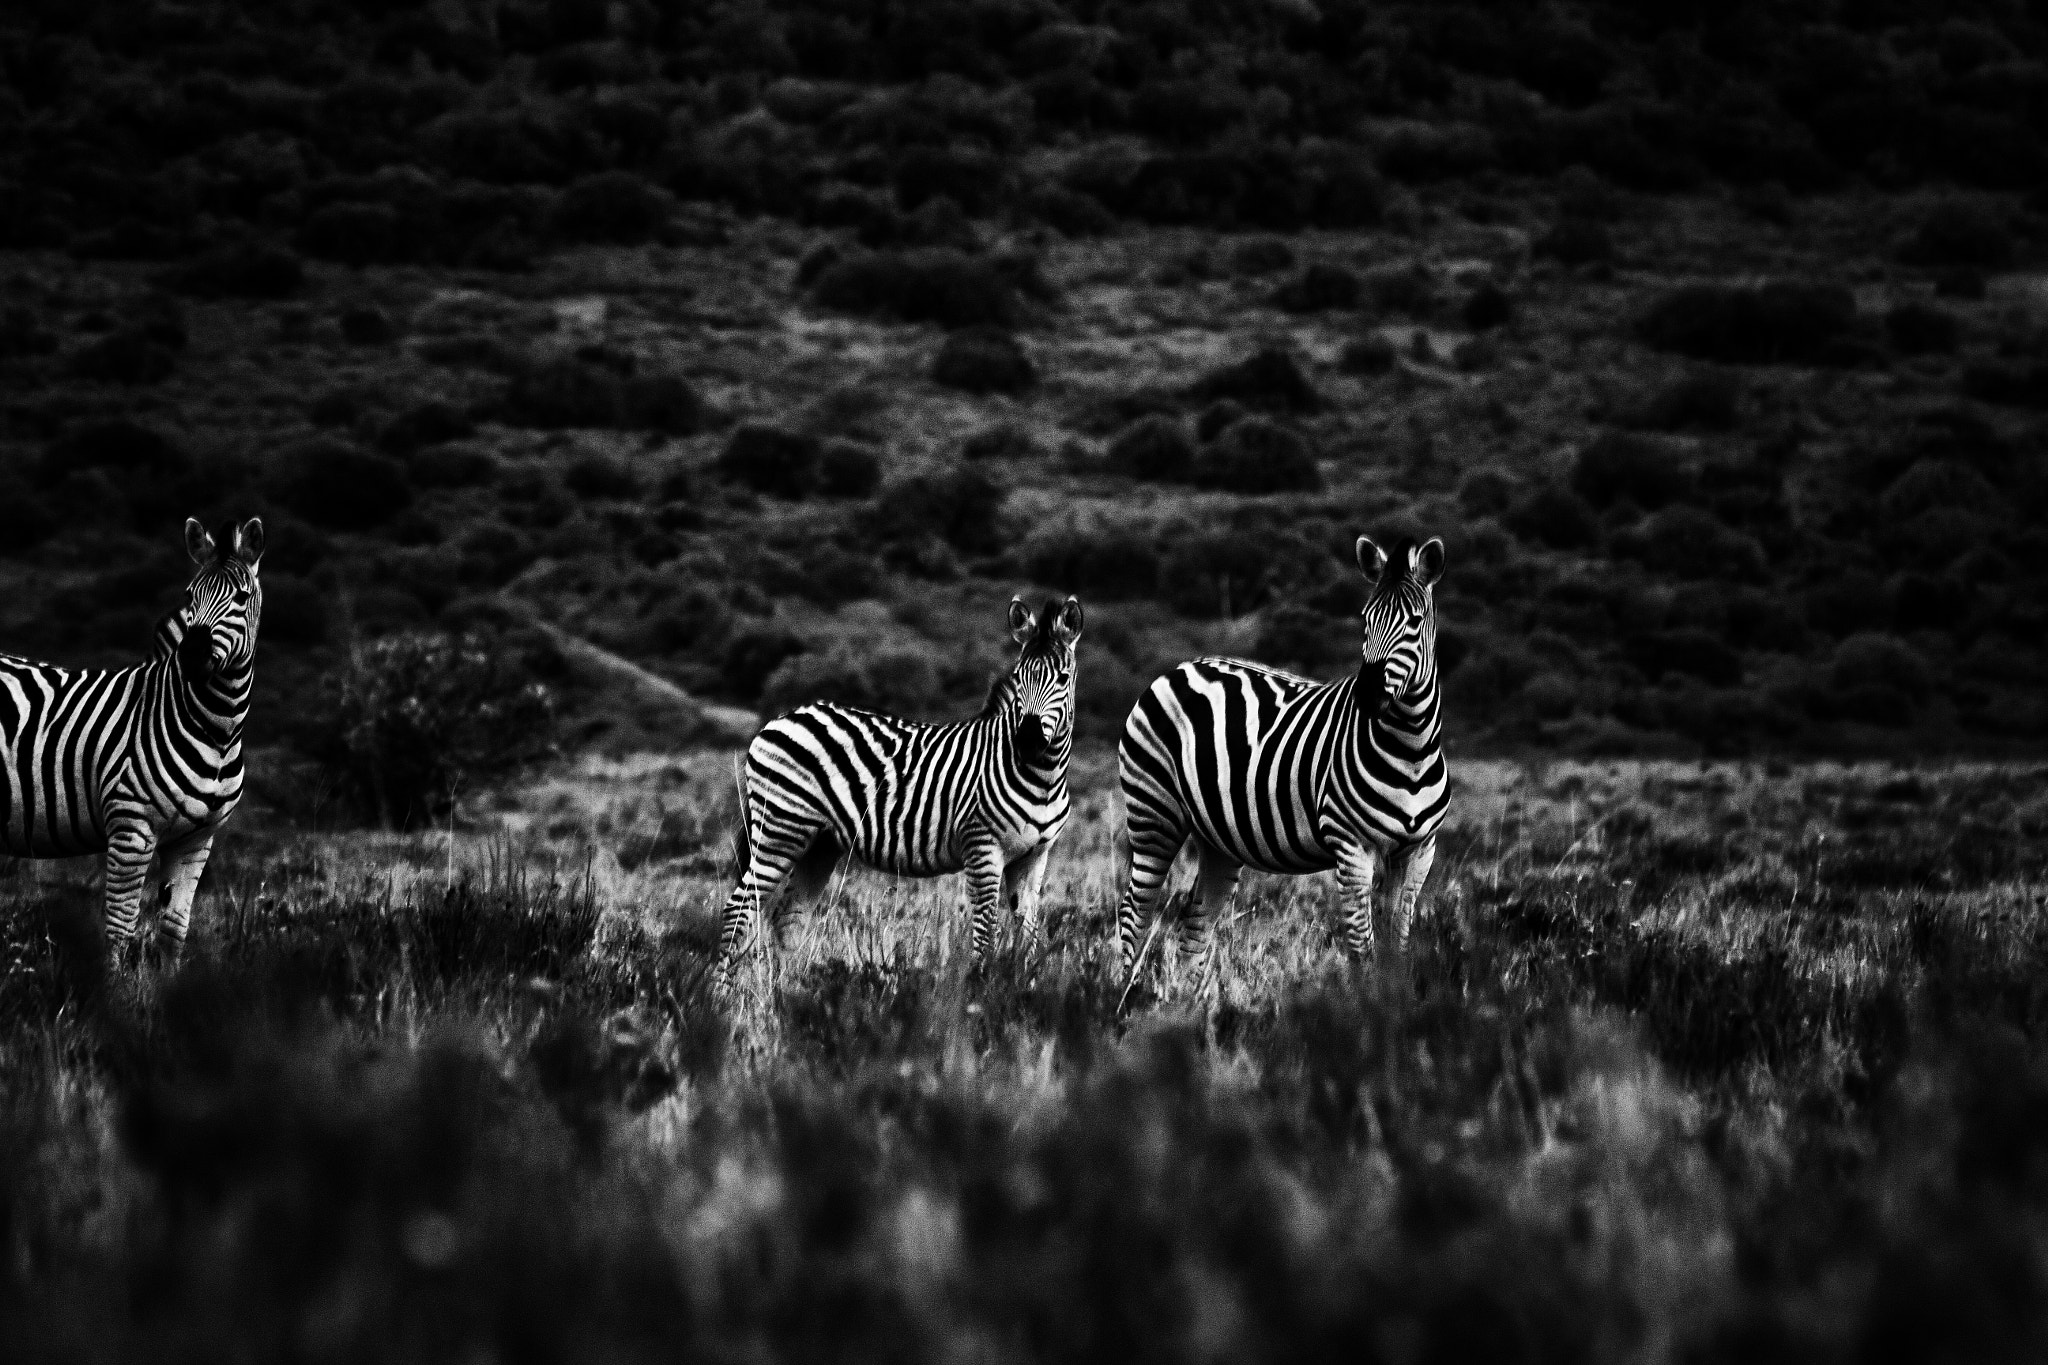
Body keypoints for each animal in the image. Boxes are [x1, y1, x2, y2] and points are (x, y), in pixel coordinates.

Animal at [0, 518, 263, 962]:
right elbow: (120, 929)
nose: (192, 655)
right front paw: (112, 985)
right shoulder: (131, 829)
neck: (216, 731)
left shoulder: (196, 841)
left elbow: (174, 932)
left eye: (242, 598)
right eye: (190, 595)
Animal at [716, 595, 1083, 981]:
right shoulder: (982, 847)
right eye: (1019, 676)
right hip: (780, 827)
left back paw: (785, 993)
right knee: (739, 908)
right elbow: (985, 934)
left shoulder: (1034, 858)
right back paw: (720, 993)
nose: (1027, 740)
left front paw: (1024, 987)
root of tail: (778, 719)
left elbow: (1029, 937)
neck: (1042, 778)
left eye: (1063, 678)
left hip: (819, 842)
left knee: (788, 917)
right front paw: (980, 988)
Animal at [1113, 535, 1448, 979]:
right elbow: (1362, 949)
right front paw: (1364, 998)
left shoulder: (1419, 852)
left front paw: (1395, 996)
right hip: (1154, 813)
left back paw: (1179, 999)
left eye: (1414, 621)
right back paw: (1119, 991)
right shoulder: (1351, 845)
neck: (1410, 750)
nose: (1366, 695)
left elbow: (1398, 951)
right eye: (1364, 619)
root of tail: (1180, 667)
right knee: (1134, 909)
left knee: (1196, 920)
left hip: (1217, 838)